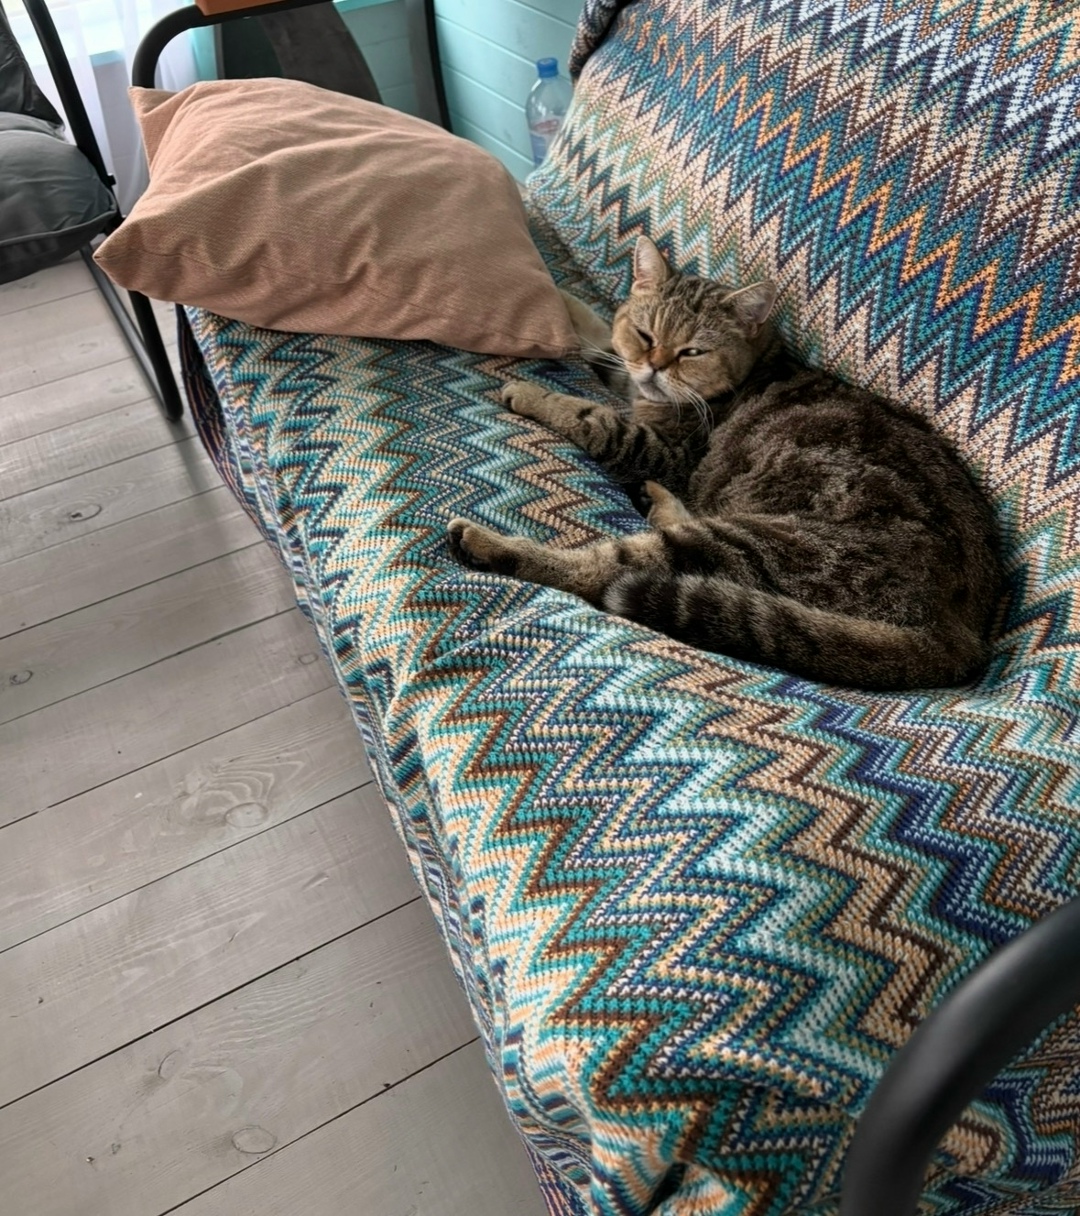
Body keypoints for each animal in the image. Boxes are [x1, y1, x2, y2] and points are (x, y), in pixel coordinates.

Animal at [448, 236, 1003, 691]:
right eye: (647, 336)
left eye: (692, 351)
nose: (654, 367)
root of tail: (960, 637)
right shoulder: (630, 376)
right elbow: (602, 337)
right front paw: (565, 303)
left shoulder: (663, 447)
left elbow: (593, 416)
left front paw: (533, 393)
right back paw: (656, 499)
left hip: (753, 542)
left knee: (605, 569)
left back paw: (488, 543)